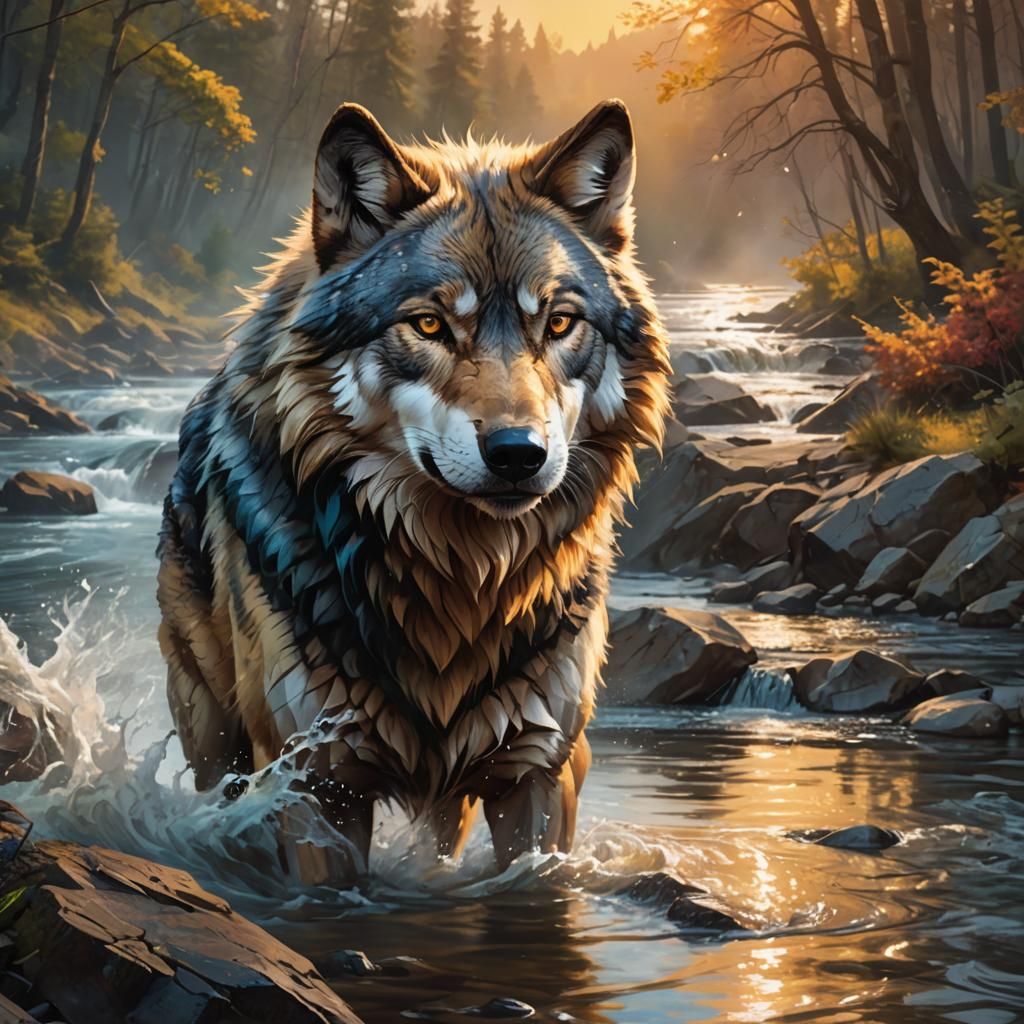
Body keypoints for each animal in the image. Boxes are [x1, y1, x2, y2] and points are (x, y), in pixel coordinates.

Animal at [157, 98, 670, 884]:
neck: (459, 583)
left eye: (558, 323)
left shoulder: (542, 772)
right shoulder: (313, 780)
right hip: (217, 737)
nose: (519, 454)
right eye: (429, 324)